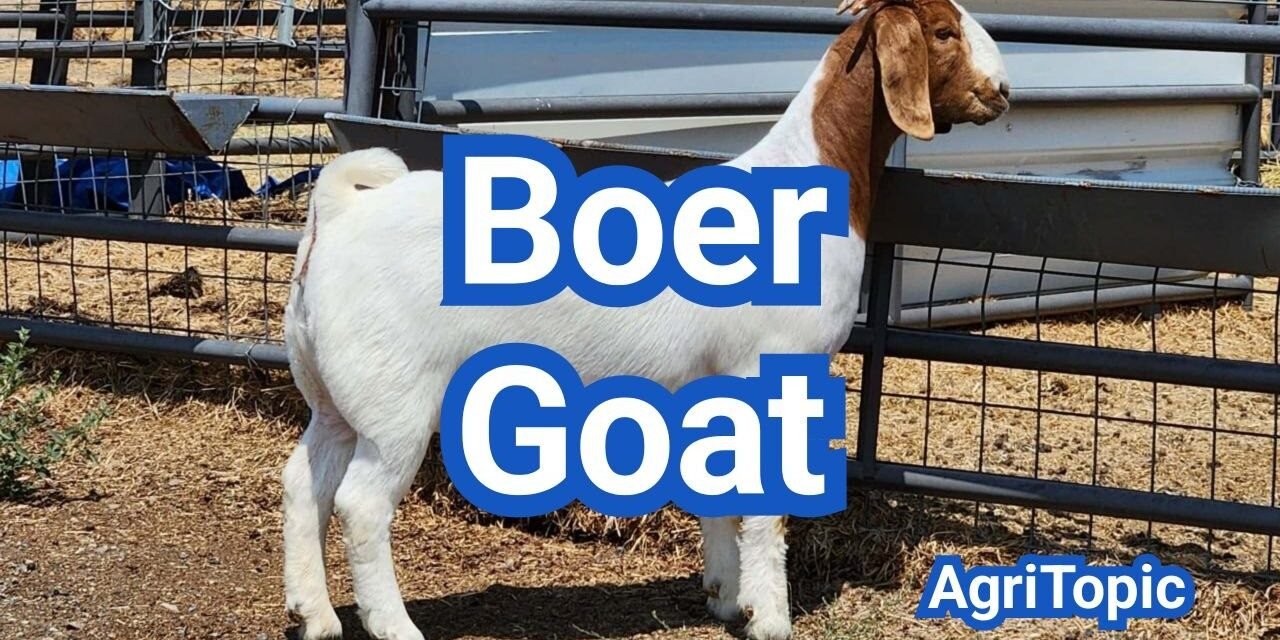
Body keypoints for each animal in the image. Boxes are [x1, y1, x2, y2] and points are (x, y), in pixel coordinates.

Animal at [281, 1, 1009, 638]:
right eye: (944, 31)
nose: (1002, 90)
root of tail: (340, 214)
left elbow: (718, 490)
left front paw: (728, 599)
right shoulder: (774, 367)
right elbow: (765, 507)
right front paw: (771, 619)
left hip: (333, 389)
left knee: (304, 482)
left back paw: (313, 614)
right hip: (396, 397)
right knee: (361, 504)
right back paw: (393, 625)